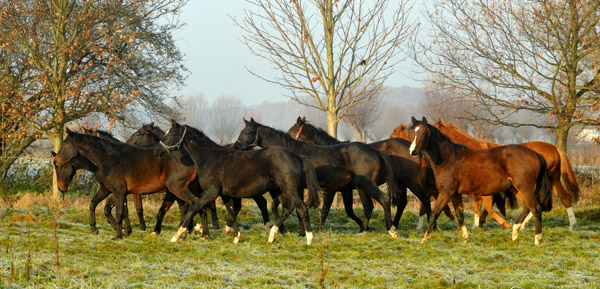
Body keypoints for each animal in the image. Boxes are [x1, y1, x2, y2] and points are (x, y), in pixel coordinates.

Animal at [157, 118, 322, 244]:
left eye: (172, 133)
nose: (158, 151)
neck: (210, 158)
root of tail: (298, 156)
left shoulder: (210, 192)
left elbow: (193, 208)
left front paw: (177, 235)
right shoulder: (224, 195)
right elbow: (231, 212)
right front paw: (236, 237)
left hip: (290, 190)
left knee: (301, 208)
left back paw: (309, 239)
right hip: (280, 190)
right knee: (288, 208)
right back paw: (272, 235)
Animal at [237, 117, 400, 236]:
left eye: (247, 132)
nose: (237, 146)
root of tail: (376, 151)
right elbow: (289, 207)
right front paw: (298, 232)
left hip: (366, 185)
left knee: (384, 199)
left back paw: (390, 229)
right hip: (361, 187)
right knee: (368, 206)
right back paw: (363, 230)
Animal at [408, 116, 552, 244]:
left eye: (424, 133)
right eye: (412, 132)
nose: (412, 151)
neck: (449, 159)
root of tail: (536, 154)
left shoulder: (446, 192)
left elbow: (435, 213)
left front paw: (424, 239)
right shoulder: (455, 194)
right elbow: (460, 215)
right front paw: (465, 239)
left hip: (525, 187)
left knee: (536, 208)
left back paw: (537, 239)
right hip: (515, 188)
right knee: (527, 207)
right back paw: (515, 233)